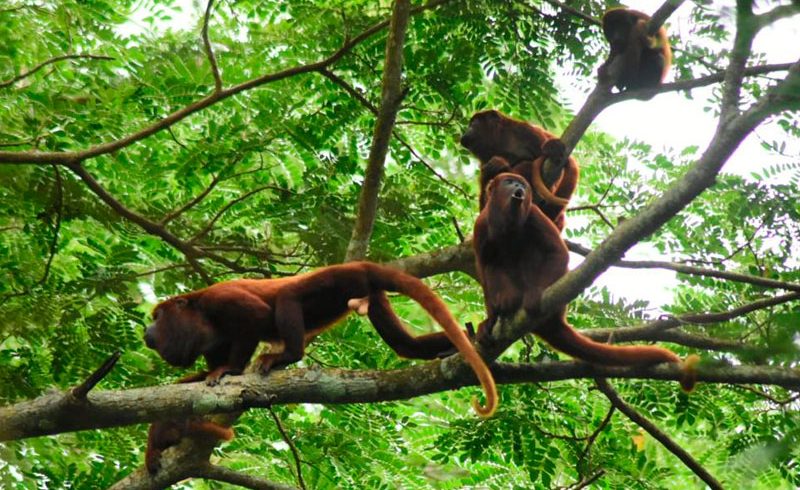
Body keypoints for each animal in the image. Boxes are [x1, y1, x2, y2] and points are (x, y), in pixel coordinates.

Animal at [144, 261, 498, 417]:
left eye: (157, 316)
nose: (147, 331)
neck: (200, 313)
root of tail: (361, 263)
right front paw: (199, 376)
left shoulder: (221, 299)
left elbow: (254, 320)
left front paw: (229, 370)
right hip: (370, 293)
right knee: (403, 344)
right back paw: (460, 342)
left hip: (335, 280)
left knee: (287, 296)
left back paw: (287, 355)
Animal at [474, 168, 696, 390]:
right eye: (509, 181)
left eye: (523, 185)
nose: (519, 187)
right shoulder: (480, 226)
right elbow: (484, 270)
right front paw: (490, 319)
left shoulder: (534, 214)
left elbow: (557, 252)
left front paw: (535, 292)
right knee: (493, 263)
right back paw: (506, 304)